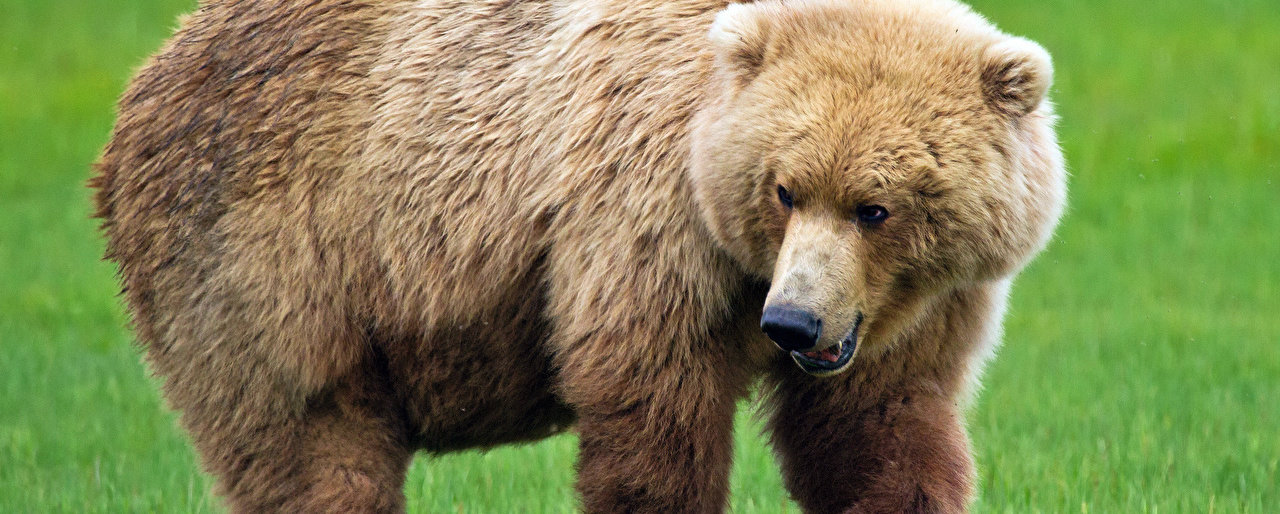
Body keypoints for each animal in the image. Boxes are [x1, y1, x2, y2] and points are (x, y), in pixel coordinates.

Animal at [91, 0, 1065, 512]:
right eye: (785, 188)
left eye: (876, 207)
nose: (790, 324)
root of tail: (154, 67)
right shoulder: (643, 230)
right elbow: (653, 425)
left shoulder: (915, 310)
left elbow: (879, 430)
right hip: (271, 259)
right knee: (311, 446)